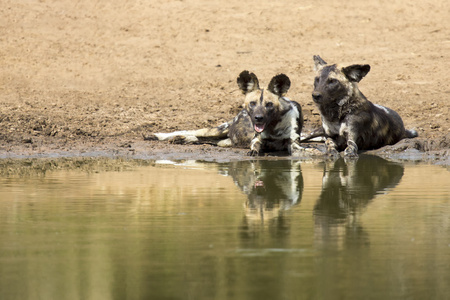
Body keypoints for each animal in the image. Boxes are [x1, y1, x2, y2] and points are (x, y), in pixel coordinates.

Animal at [149, 69, 304, 155]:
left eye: (269, 105)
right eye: (252, 103)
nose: (258, 118)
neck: (274, 127)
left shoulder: (293, 144)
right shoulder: (256, 139)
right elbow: (255, 147)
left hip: (222, 141)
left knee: (200, 139)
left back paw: (181, 139)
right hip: (217, 130)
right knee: (192, 132)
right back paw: (158, 136)